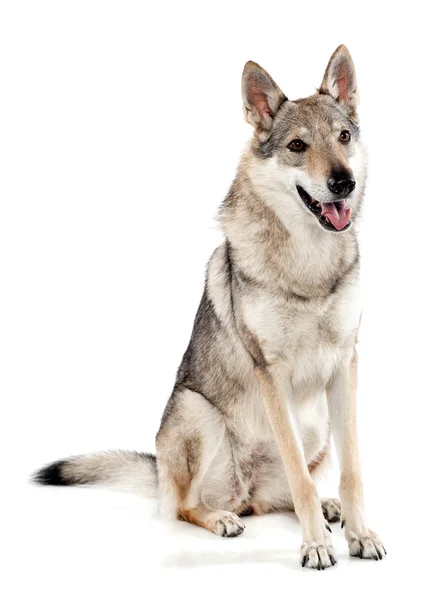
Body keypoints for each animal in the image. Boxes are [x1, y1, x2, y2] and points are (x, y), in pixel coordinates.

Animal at [35, 44, 384, 568]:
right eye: (297, 146)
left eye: (343, 137)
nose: (342, 182)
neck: (308, 261)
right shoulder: (271, 372)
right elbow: (299, 477)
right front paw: (316, 546)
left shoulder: (345, 364)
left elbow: (352, 472)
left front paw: (358, 534)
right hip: (198, 414)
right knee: (187, 505)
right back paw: (223, 518)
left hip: (316, 424)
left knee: (282, 493)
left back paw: (325, 510)